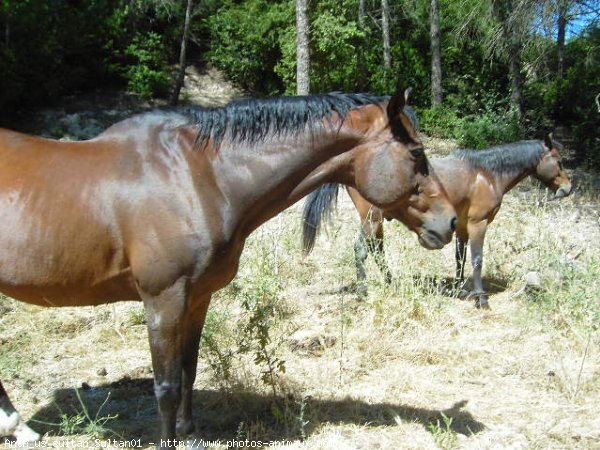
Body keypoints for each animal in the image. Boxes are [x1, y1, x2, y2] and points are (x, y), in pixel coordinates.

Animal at [0, 89, 454, 446]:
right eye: (417, 154)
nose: (449, 222)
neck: (197, 177)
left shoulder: (197, 296)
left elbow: (189, 368)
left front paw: (189, 433)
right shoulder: (163, 300)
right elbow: (166, 384)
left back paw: (20, 428)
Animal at [304, 134, 572, 310]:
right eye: (559, 161)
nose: (568, 189)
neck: (486, 174)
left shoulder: (461, 226)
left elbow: (460, 258)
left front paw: (458, 288)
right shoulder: (478, 223)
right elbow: (477, 260)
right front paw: (481, 298)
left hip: (376, 222)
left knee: (377, 250)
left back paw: (390, 282)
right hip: (372, 219)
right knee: (362, 249)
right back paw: (363, 291)